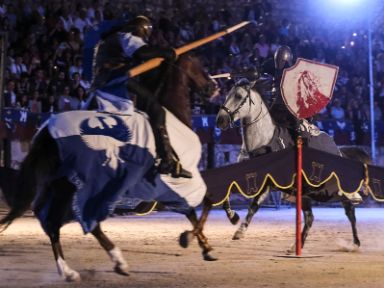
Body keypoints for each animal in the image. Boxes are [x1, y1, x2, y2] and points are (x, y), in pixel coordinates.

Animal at [0, 54, 218, 282]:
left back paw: (78, 269)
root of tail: (47, 133)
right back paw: (103, 264)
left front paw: (205, 246)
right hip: (71, 187)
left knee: (52, 219)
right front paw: (191, 239)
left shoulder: (170, 188)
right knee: (67, 221)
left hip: (58, 185)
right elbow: (206, 202)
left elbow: (194, 210)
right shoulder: (178, 183)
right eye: (198, 64)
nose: (213, 87)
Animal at [216, 79, 368, 252]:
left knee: (348, 211)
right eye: (227, 94)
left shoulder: (267, 183)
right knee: (311, 217)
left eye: (239, 96)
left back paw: (355, 243)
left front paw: (239, 229)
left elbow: (254, 205)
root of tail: (339, 151)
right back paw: (296, 245)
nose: (220, 120)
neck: (263, 142)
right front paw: (233, 217)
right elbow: (229, 192)